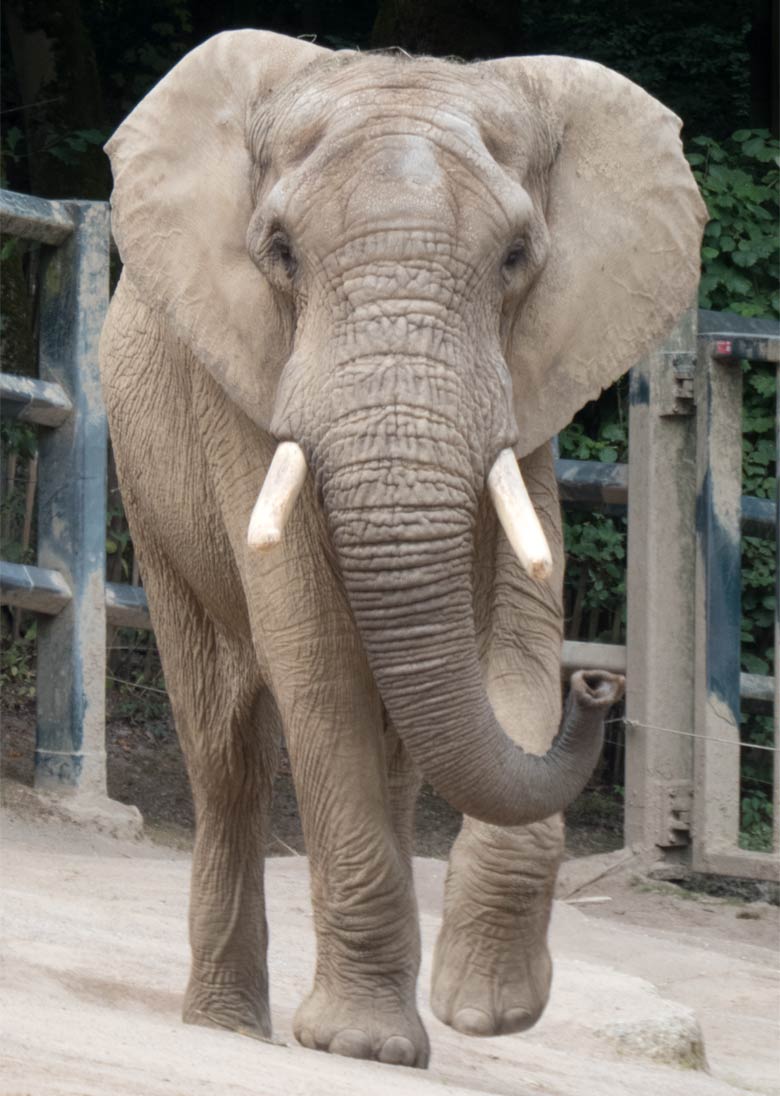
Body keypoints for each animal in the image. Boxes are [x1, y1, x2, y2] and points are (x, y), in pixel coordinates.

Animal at [99, 27, 705, 1069]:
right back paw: (226, 1025)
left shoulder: (531, 392)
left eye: (517, 257)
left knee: (393, 743)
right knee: (225, 747)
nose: (600, 684)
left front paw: (484, 1012)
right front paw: (361, 1048)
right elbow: (315, 654)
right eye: (279, 251)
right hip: (149, 492)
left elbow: (513, 646)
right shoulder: (244, 389)